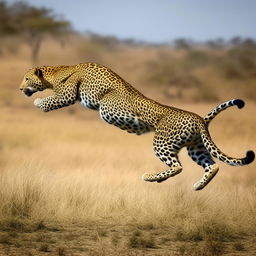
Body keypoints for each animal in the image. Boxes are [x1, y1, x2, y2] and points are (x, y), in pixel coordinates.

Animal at [19, 62, 255, 190]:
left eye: (26, 79)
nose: (21, 89)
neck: (56, 72)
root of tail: (198, 118)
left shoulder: (67, 95)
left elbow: (51, 101)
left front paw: (38, 102)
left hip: (162, 143)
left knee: (177, 166)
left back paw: (150, 177)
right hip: (195, 147)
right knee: (213, 165)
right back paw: (198, 186)